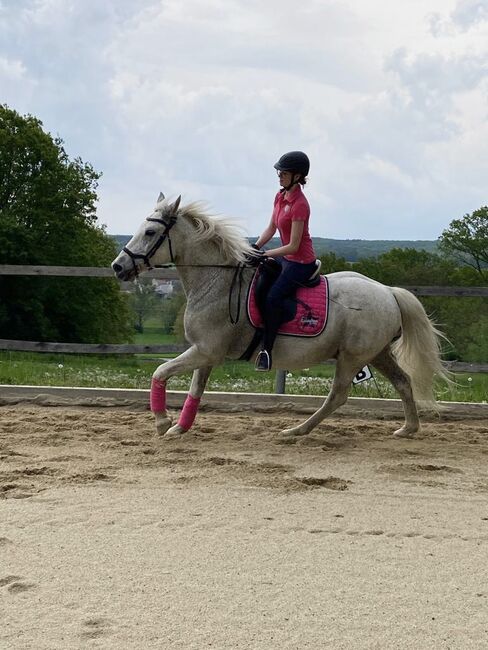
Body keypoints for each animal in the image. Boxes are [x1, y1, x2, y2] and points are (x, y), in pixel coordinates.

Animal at [112, 192, 448, 436]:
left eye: (150, 231)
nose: (118, 267)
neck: (216, 281)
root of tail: (388, 291)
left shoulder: (206, 350)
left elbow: (160, 372)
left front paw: (162, 422)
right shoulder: (205, 352)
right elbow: (195, 390)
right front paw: (179, 428)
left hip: (353, 357)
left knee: (338, 395)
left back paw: (296, 431)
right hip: (377, 353)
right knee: (403, 381)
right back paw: (407, 429)